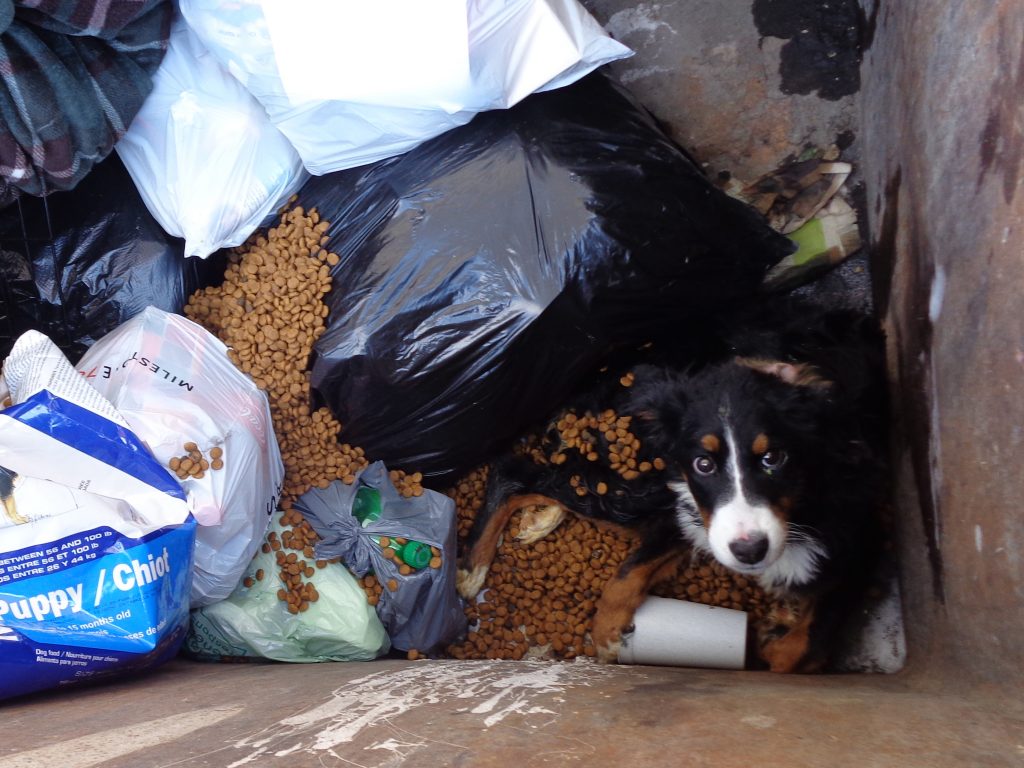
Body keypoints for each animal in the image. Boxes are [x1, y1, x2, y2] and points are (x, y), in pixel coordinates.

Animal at [458, 303, 888, 671]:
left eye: (774, 458)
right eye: (704, 464)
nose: (749, 550)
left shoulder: (857, 546)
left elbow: (802, 646)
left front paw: (778, 630)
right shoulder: (687, 509)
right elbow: (624, 578)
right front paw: (607, 639)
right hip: (628, 488)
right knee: (515, 471)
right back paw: (472, 568)